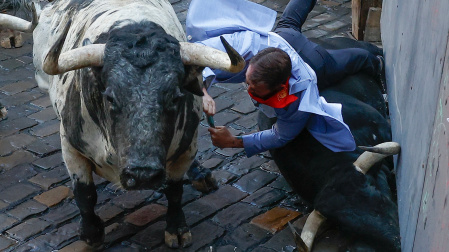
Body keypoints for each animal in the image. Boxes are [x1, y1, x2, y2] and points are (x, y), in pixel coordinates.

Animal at [0, 0, 243, 248]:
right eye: (110, 97)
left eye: (175, 97)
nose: (144, 175)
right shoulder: (70, 147)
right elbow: (85, 193)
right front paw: (91, 232)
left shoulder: (187, 146)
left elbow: (175, 190)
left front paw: (177, 228)